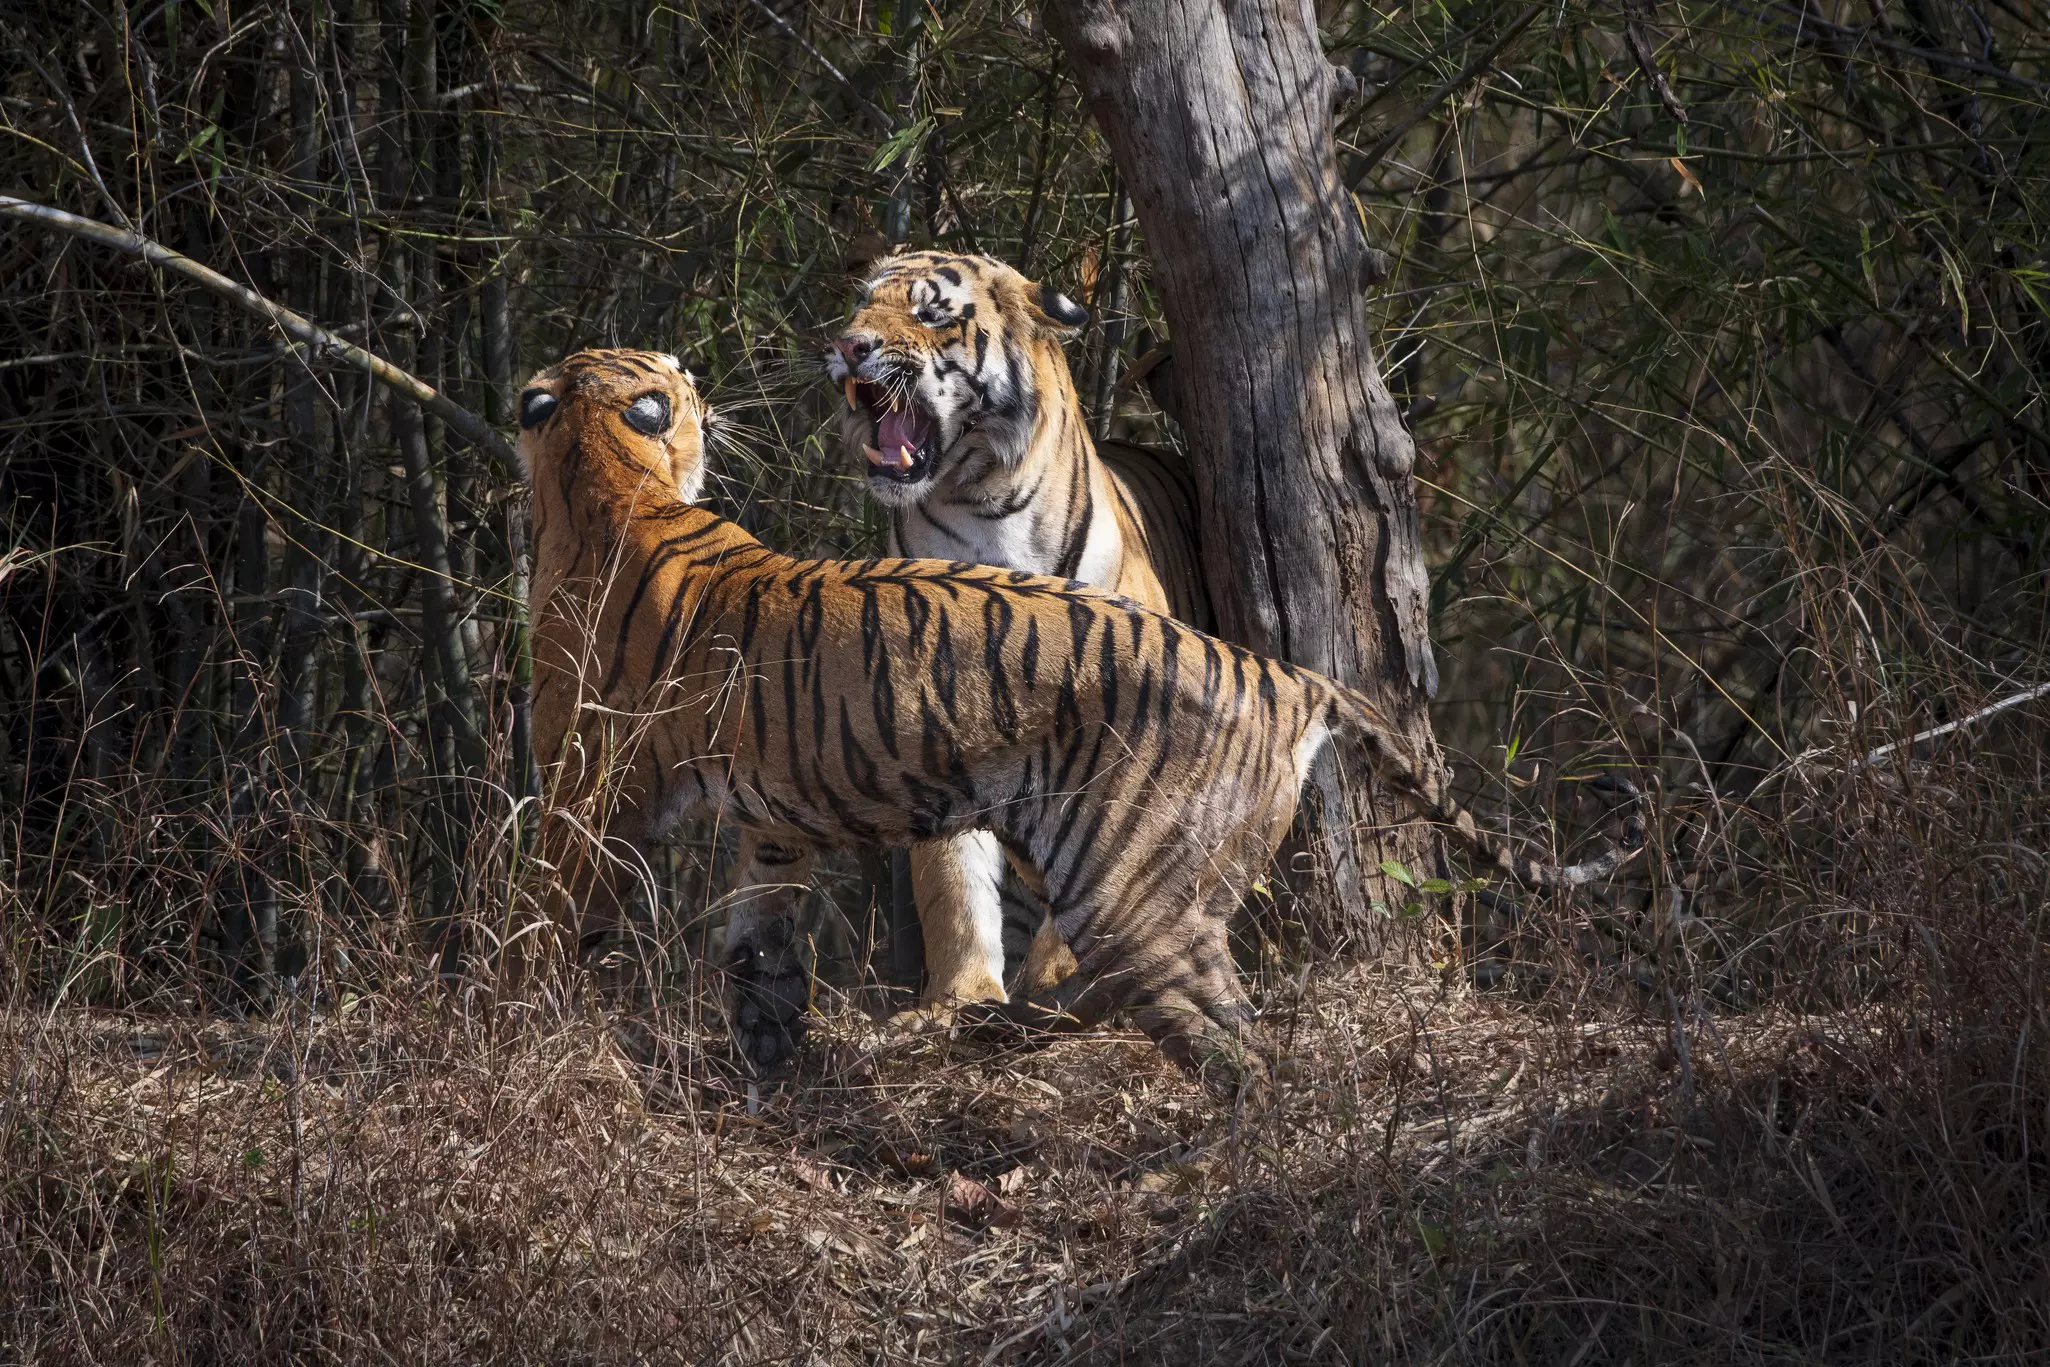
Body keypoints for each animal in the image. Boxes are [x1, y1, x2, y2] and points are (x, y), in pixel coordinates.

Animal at [518, 347, 1642, 1094]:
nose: (710, 392)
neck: (606, 483)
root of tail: (1287, 676)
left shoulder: (586, 783)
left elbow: (544, 909)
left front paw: (515, 1012)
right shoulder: (773, 818)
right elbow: (757, 942)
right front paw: (767, 1055)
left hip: (1127, 886)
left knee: (1232, 1042)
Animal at [826, 249, 1213, 1013]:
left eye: (931, 313)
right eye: (860, 305)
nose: (850, 346)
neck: (987, 505)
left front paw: (1055, 981)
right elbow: (953, 882)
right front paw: (961, 997)